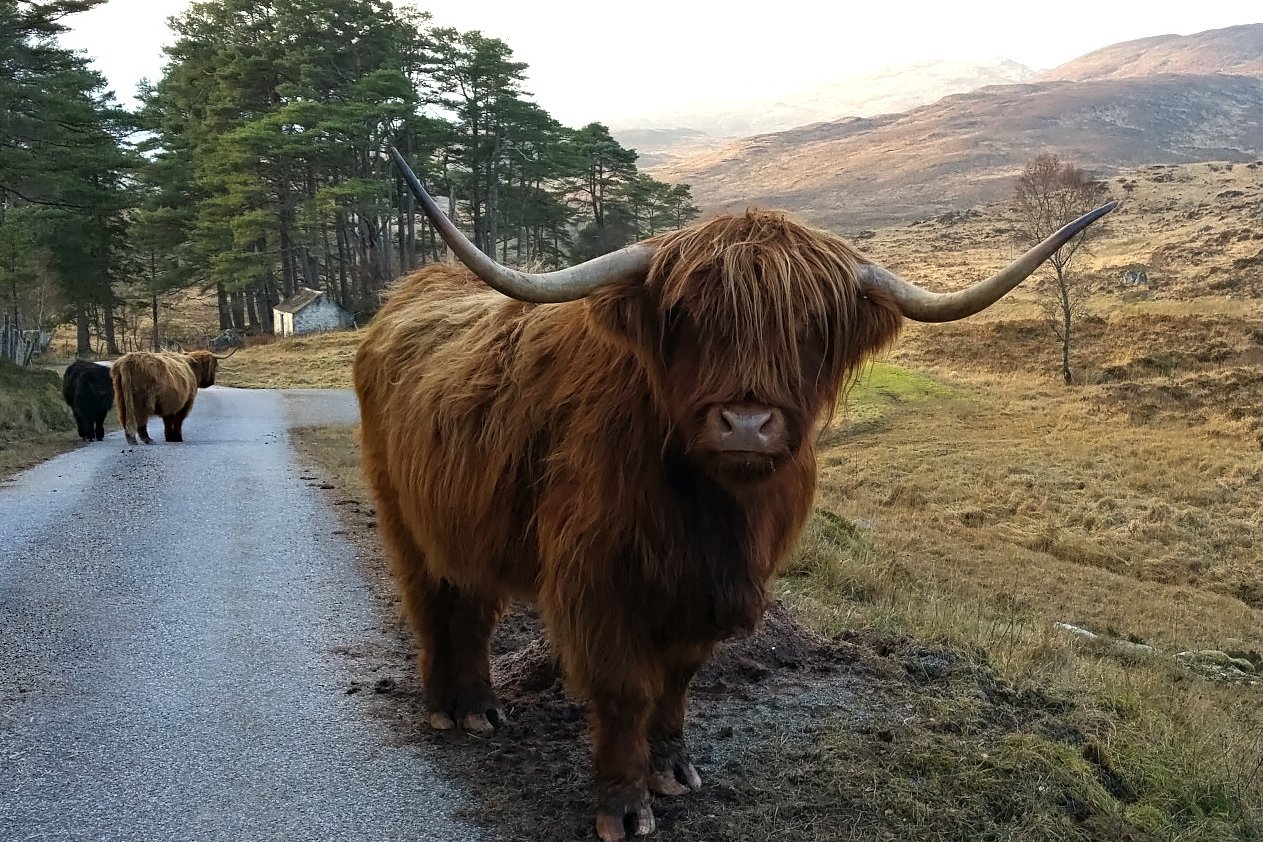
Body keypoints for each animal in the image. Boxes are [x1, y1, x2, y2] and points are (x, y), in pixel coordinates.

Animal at [354, 148, 1116, 842]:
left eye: (809, 326)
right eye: (688, 318)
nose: (746, 423)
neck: (712, 510)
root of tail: (407, 295)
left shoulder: (708, 589)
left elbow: (678, 683)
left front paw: (673, 771)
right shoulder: (595, 581)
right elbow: (625, 690)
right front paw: (624, 808)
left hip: (465, 521)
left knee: (473, 609)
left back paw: (481, 706)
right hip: (402, 514)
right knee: (431, 605)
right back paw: (447, 708)